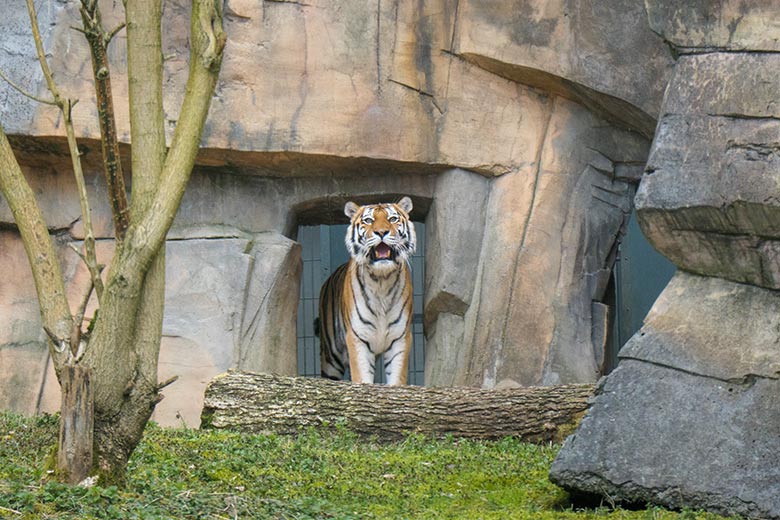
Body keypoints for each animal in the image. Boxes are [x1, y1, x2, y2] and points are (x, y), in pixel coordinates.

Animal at [316, 197, 418, 384]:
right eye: (368, 221)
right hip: (331, 357)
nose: (381, 232)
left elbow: (396, 379)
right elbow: (362, 378)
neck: (381, 281)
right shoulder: (357, 339)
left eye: (393, 219)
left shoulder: (399, 339)